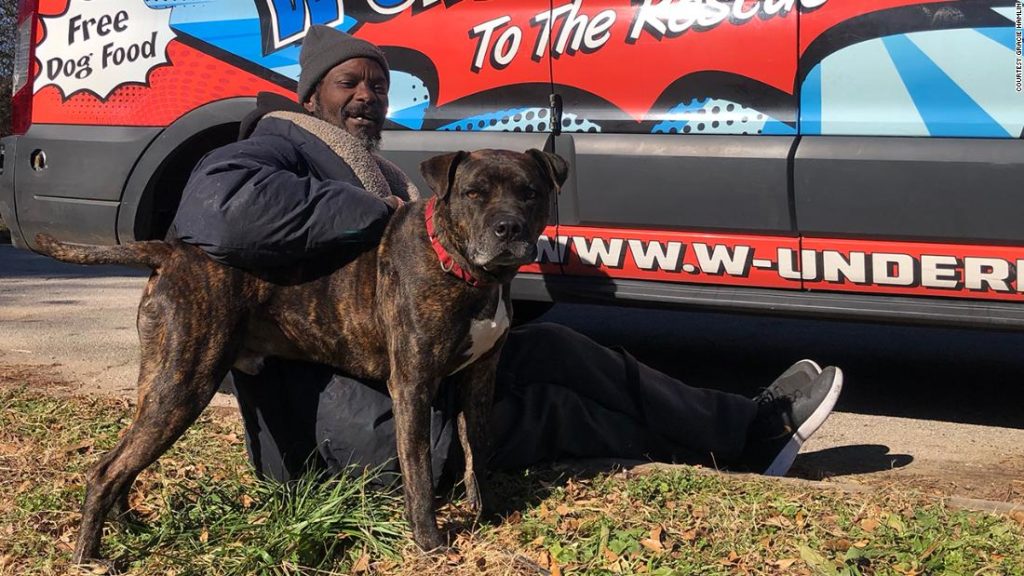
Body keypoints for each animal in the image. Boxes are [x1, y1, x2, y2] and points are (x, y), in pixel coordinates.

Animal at [34, 147, 569, 561]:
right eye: (474, 193)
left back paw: (130, 527)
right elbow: (418, 472)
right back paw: (90, 556)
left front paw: (488, 513)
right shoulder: (414, 388)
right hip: (184, 384)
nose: (508, 228)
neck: (463, 270)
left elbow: (480, 449)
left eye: (530, 192)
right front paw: (430, 543)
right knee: (106, 470)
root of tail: (171, 251)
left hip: (161, 381)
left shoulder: (478, 381)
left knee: (124, 461)